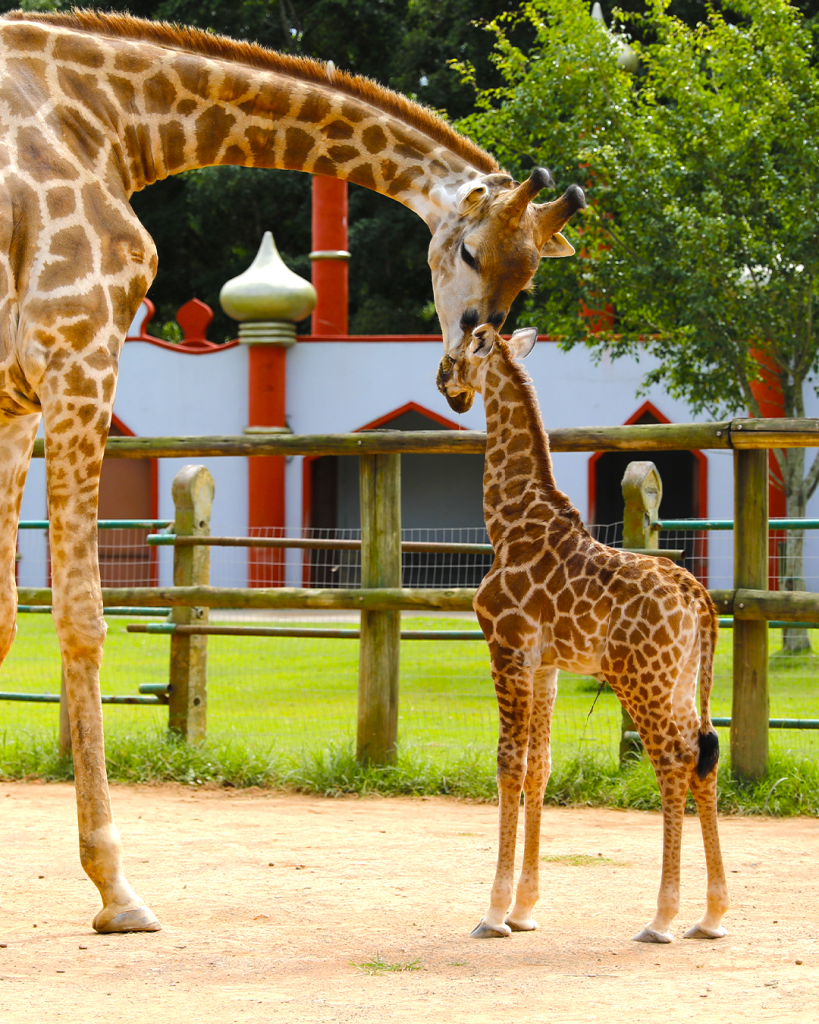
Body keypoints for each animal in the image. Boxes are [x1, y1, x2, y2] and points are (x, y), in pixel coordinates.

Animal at [0, 9, 581, 937]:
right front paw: (116, 890)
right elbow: (82, 619)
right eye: (466, 250)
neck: (112, 118)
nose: (461, 371)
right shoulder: (76, 350)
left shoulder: (18, 396)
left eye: (527, 273)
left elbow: (6, 619)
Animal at [442, 325, 728, 942]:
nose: (446, 386)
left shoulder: (505, 648)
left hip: (641, 680)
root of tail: (698, 598)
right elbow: (539, 765)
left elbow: (507, 763)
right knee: (703, 754)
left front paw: (493, 914)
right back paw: (712, 916)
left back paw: (661, 918)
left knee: (674, 759)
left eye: (456, 354)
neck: (510, 524)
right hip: (679, 680)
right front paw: (524, 910)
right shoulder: (545, 664)